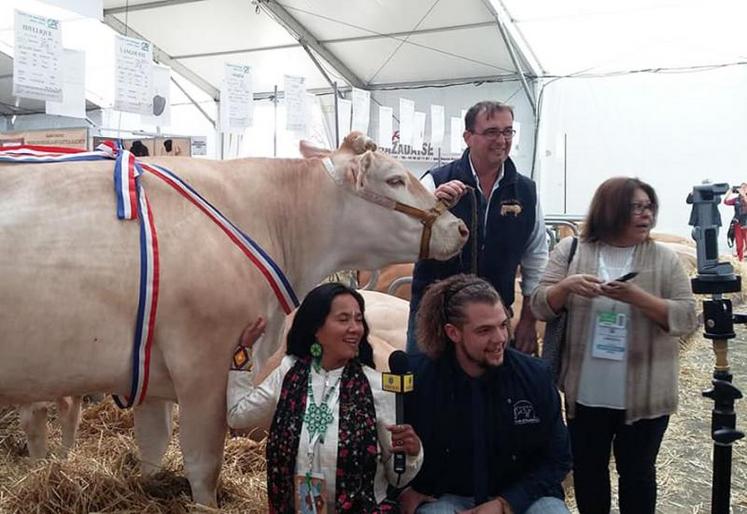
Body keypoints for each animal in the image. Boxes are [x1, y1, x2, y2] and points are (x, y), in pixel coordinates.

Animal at [0, 132, 468, 504]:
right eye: (394, 179)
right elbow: (203, 464)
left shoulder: (148, 376)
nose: (460, 228)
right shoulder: (204, 364)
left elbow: (153, 450)